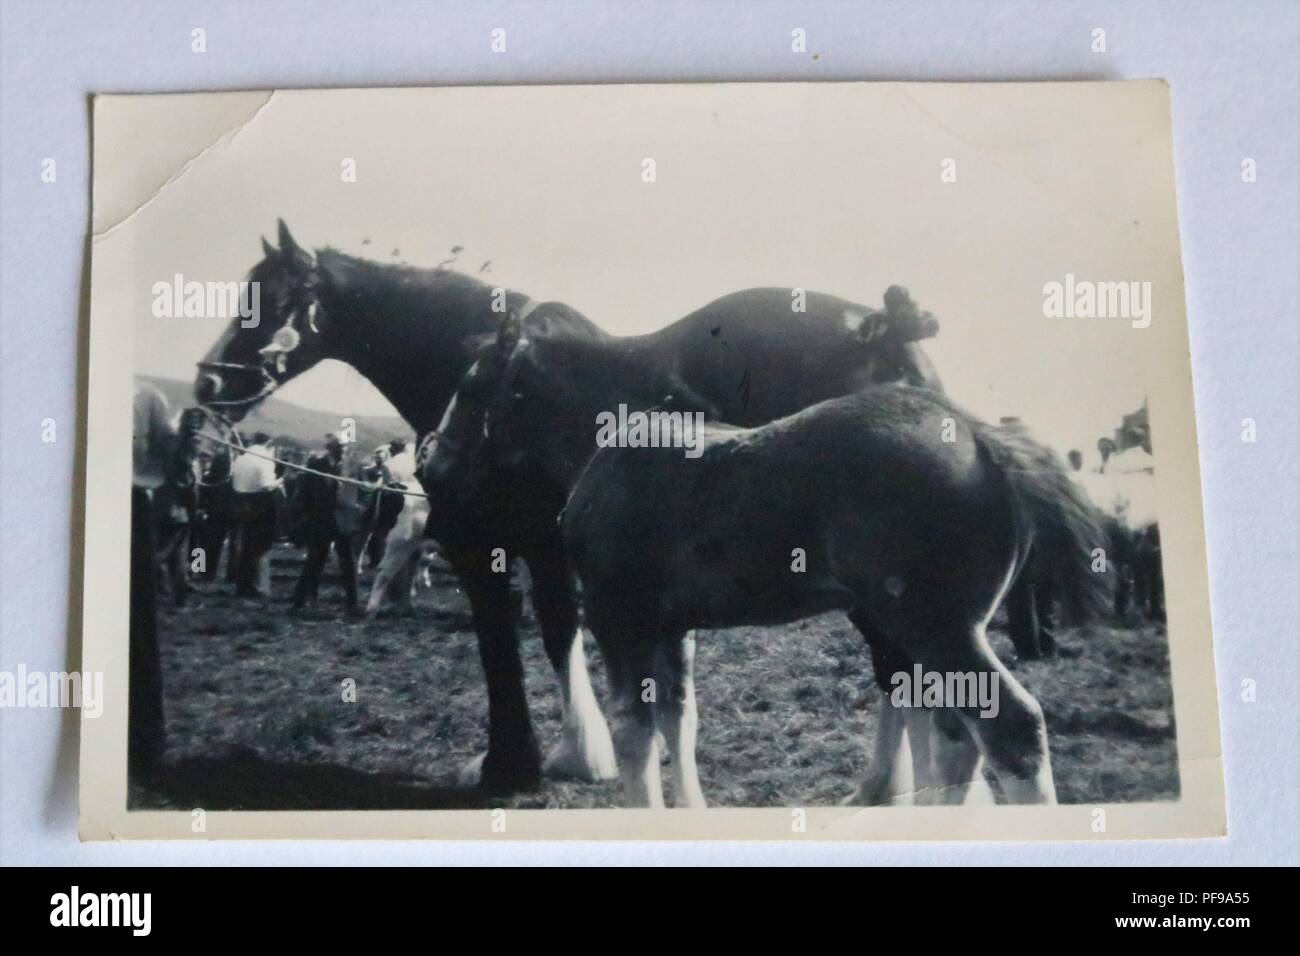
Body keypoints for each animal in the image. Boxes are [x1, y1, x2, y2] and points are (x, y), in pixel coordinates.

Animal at [195, 222, 946, 790]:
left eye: (270, 299)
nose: (207, 384)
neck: (488, 372)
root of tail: (883, 331)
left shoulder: (484, 545)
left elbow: (506, 643)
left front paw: (515, 764)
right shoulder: (550, 548)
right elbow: (559, 632)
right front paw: (581, 753)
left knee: (896, 663)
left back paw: (882, 788)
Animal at [431, 316, 1112, 806]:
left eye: (470, 388)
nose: (433, 464)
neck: (626, 448)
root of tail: (980, 437)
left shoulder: (615, 615)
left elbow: (634, 733)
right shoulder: (672, 626)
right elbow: (679, 718)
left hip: (936, 628)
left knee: (1009, 731)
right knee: (956, 738)